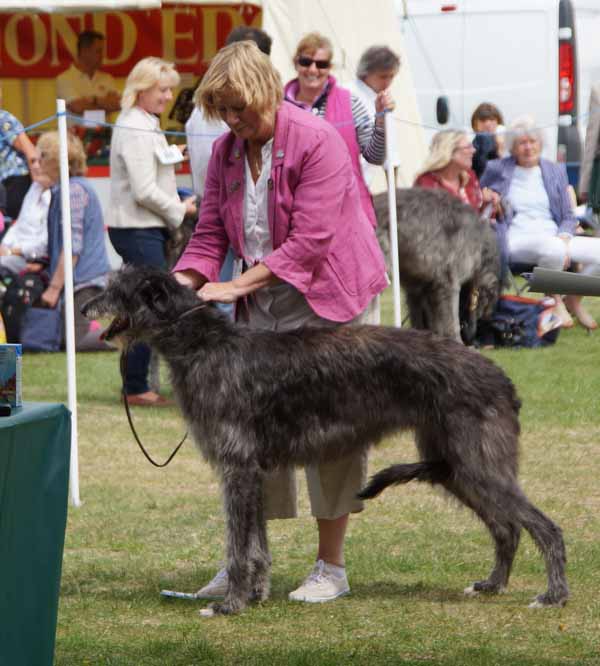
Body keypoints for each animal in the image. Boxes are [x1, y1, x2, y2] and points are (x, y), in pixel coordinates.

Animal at [83, 264, 568, 612]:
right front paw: (256, 594)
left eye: (115, 288)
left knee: (544, 526)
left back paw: (553, 595)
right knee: (506, 527)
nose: (84, 305)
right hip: (456, 464)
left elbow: (238, 546)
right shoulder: (255, 470)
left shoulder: (237, 467)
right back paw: (493, 584)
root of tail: (501, 378)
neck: (204, 345)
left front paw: (231, 604)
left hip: (476, 459)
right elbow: (256, 544)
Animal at [376, 187, 502, 342]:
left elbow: (423, 319)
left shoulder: (418, 288)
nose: (471, 337)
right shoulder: (447, 284)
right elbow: (450, 321)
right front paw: (456, 341)